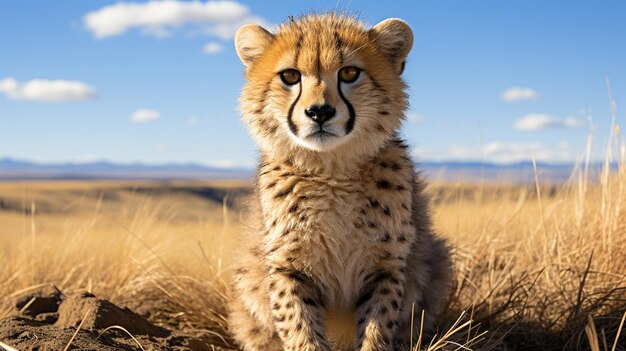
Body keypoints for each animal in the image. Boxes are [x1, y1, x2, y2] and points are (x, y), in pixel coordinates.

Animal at [227, 13, 450, 351]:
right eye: (290, 76)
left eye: (348, 73)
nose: (320, 112)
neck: (331, 171)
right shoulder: (287, 269)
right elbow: (300, 330)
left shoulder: (385, 268)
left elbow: (377, 328)